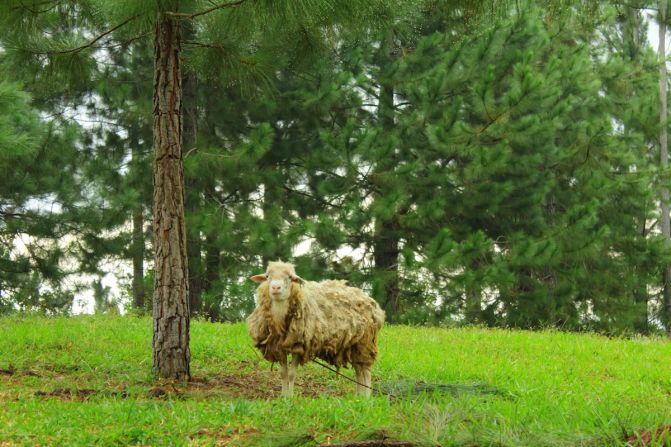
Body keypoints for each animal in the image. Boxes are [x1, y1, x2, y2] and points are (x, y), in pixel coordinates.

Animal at [247, 260, 386, 398]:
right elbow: (283, 373)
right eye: (267, 276)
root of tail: (373, 303)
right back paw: (358, 397)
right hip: (354, 345)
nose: (275, 288)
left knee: (365, 371)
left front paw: (290, 397)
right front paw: (283, 396)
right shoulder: (278, 346)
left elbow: (291, 374)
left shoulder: (300, 346)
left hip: (365, 343)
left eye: (290, 277)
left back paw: (365, 398)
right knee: (359, 370)